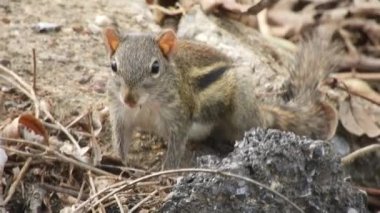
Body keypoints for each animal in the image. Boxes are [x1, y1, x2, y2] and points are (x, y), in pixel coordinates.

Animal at [101, 27, 338, 168]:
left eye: (155, 67)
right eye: (113, 66)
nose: (129, 99)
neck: (145, 105)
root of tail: (259, 109)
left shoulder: (179, 117)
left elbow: (175, 148)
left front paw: (165, 171)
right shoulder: (120, 114)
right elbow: (120, 139)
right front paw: (119, 160)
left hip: (242, 109)